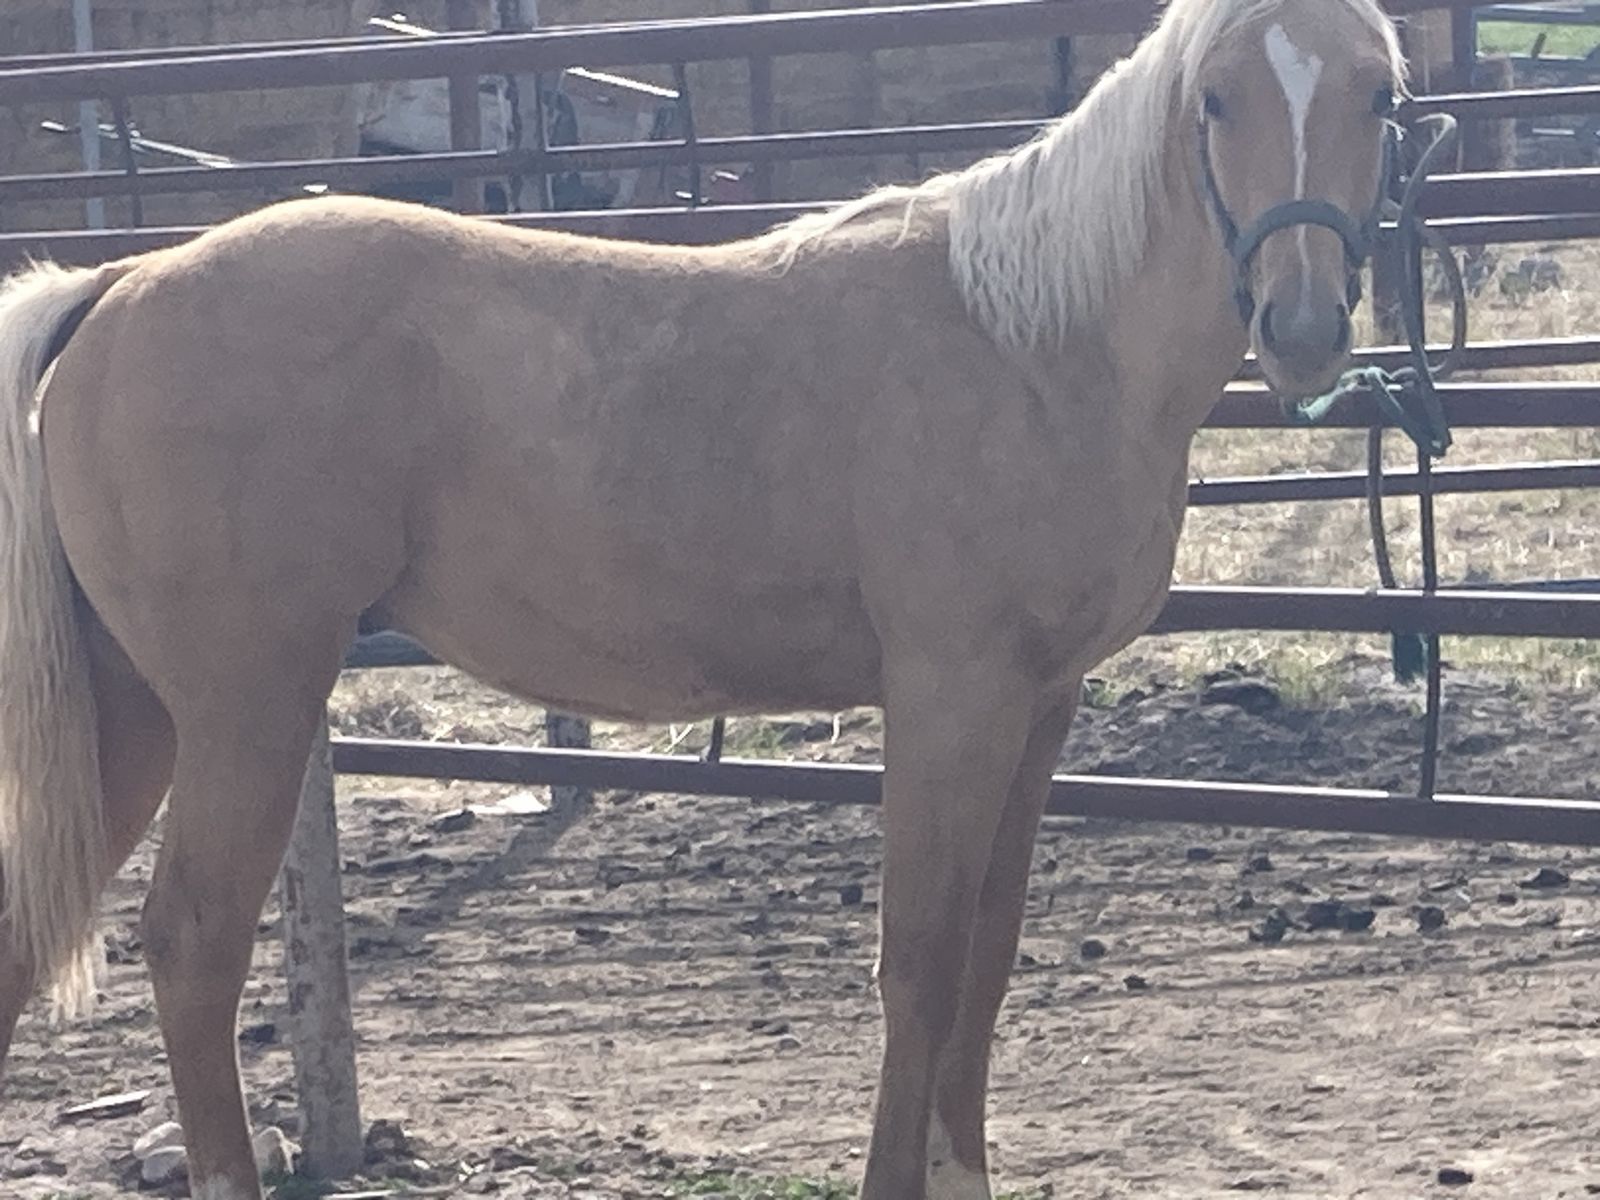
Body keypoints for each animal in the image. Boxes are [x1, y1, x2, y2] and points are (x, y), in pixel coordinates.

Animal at [0, 0, 1402, 1196]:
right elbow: (922, 962)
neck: (1034, 348)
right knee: (193, 944)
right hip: (247, 705)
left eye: (1378, 94)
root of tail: (117, 287)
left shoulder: (1039, 707)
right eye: (1215, 98)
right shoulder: (951, 699)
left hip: (144, 716)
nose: (1304, 329)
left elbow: (989, 956)